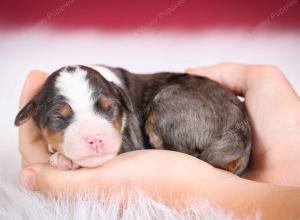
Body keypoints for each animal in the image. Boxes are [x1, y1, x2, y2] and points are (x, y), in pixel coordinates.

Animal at [15, 64, 252, 174]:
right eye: (58, 117)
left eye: (110, 108)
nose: (96, 139)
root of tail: (241, 129)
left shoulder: (129, 140)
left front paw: (65, 160)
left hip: (167, 104)